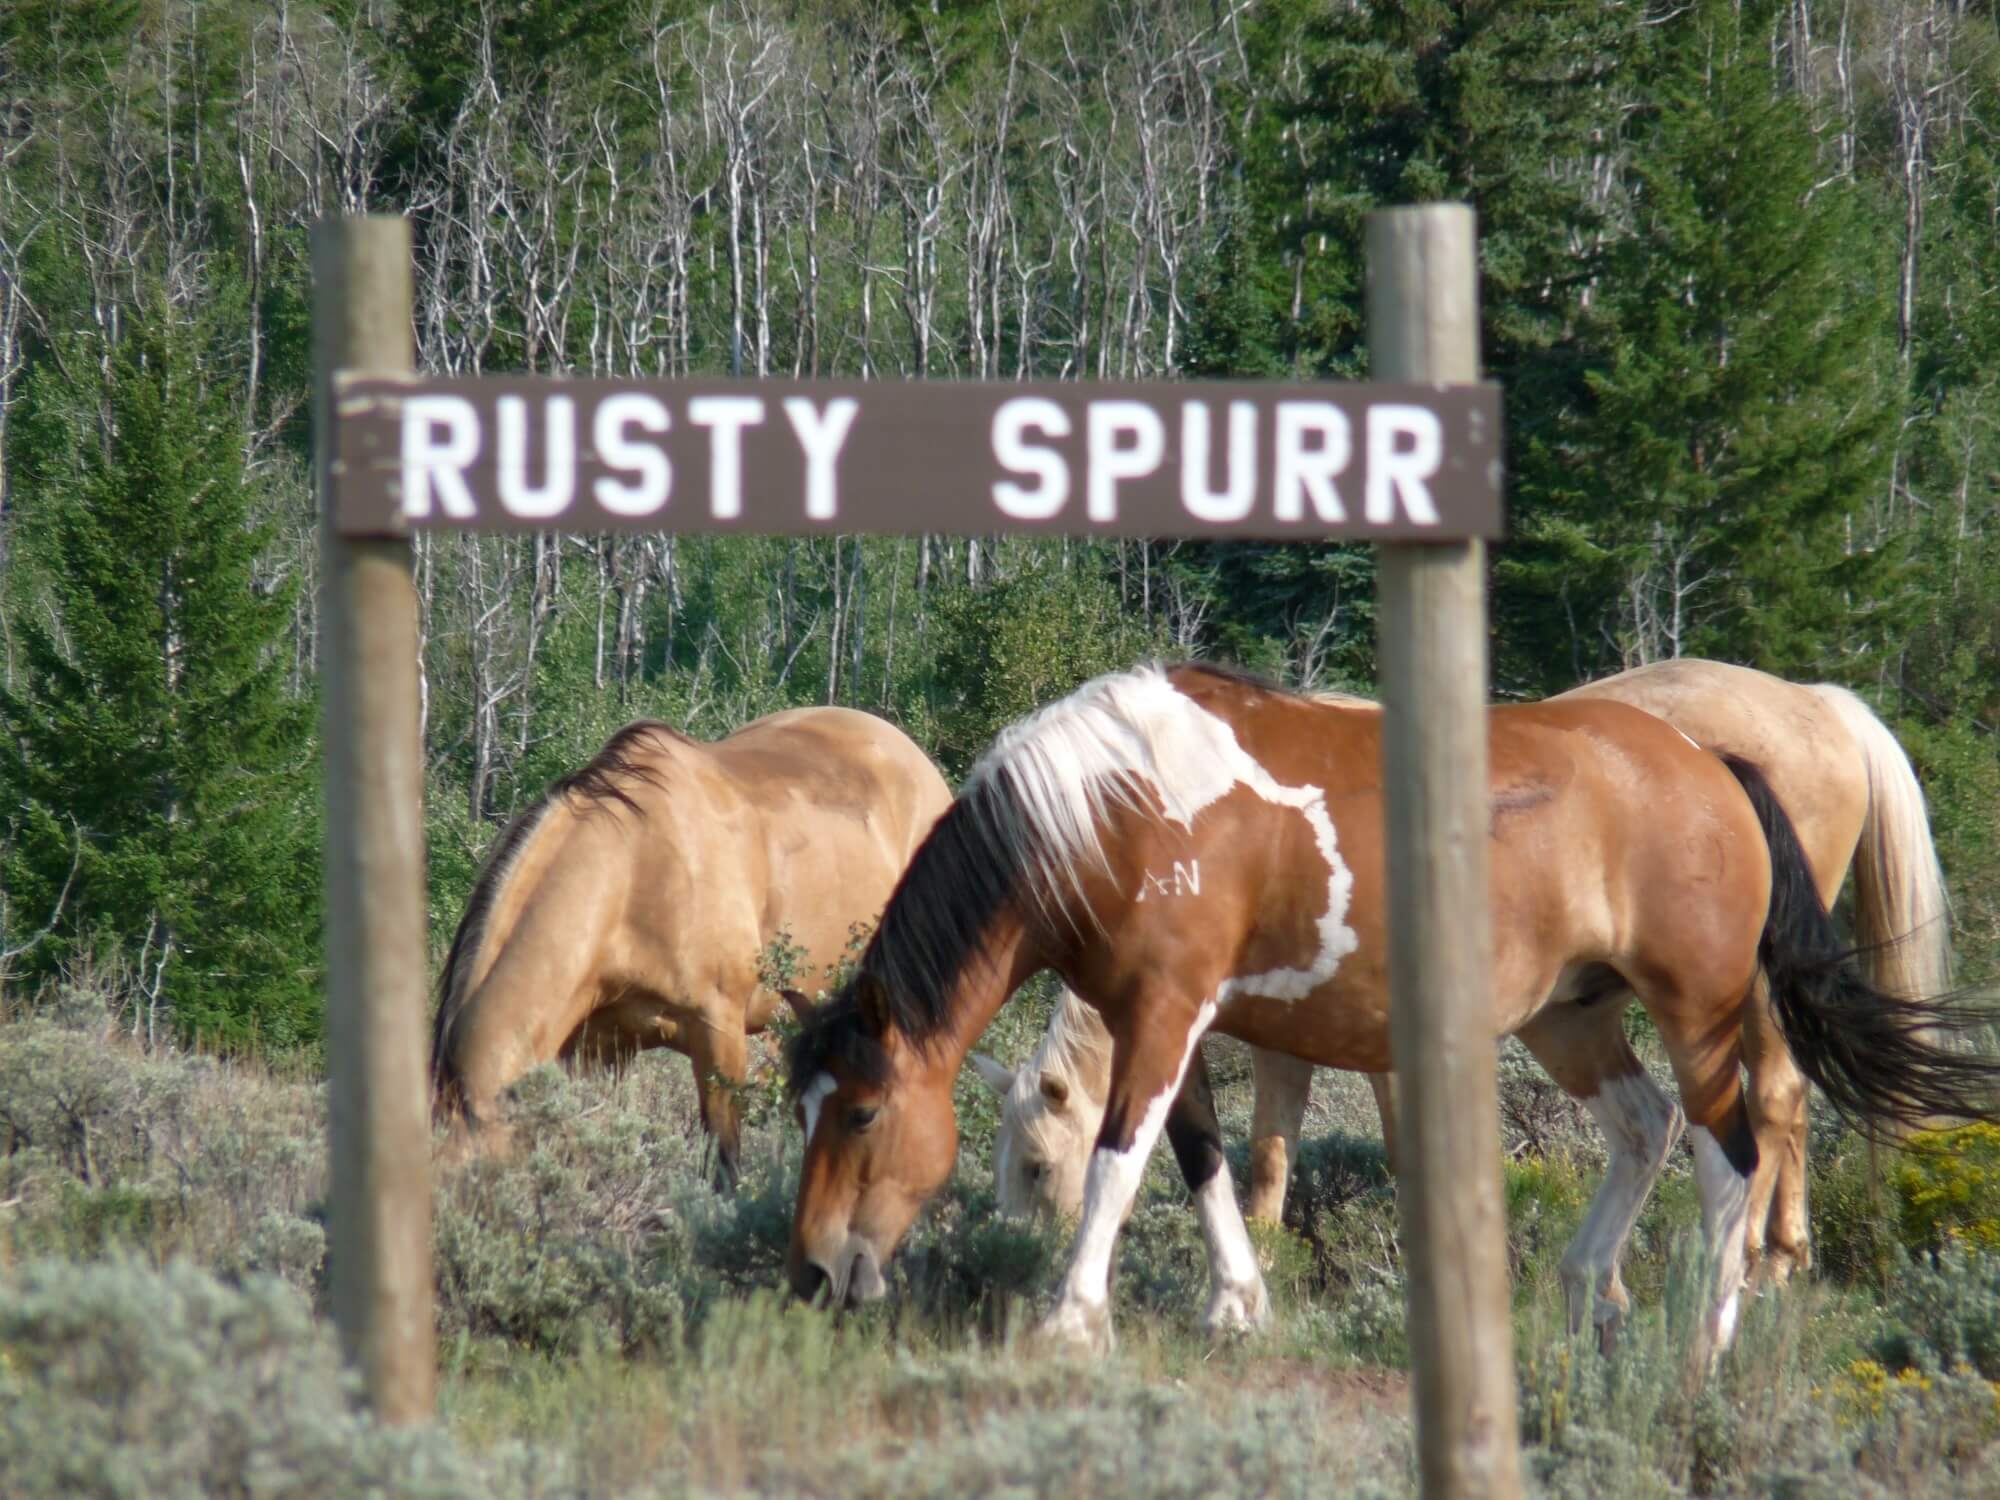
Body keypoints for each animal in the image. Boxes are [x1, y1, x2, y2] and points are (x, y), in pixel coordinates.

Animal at [785, 663, 1996, 1359]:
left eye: (859, 1114)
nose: (813, 1274)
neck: (1110, 810)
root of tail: (1711, 761)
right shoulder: (1170, 1023)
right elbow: (1203, 1160)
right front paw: (1237, 1303)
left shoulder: (1168, 1016)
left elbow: (1123, 1161)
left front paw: (1069, 1317)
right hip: (1568, 1019)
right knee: (1641, 1128)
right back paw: (1582, 1292)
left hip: (1698, 1014)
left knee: (1731, 1150)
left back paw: (1705, 1331)